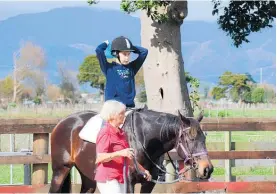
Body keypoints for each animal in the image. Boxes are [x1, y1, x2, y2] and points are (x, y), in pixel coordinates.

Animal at [48, 106, 212, 194]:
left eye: (204, 139)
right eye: (190, 139)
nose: (207, 169)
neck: (143, 138)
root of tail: (63, 122)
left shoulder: (148, 183)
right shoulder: (129, 182)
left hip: (88, 177)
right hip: (60, 170)